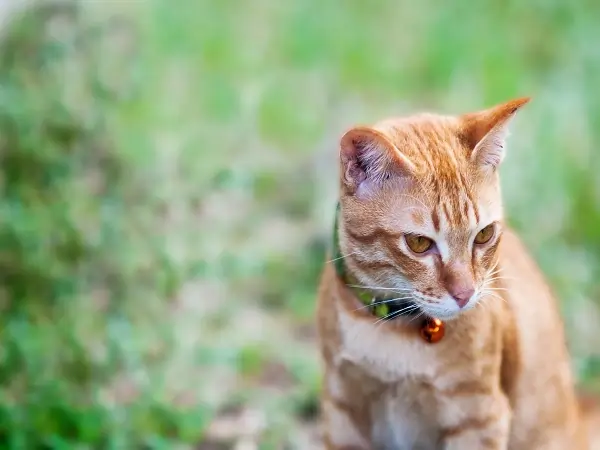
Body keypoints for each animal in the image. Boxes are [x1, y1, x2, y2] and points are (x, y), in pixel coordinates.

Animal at [314, 99, 600, 450]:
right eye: (419, 243)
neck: (391, 334)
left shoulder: (479, 417)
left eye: (484, 235)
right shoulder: (341, 407)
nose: (465, 295)